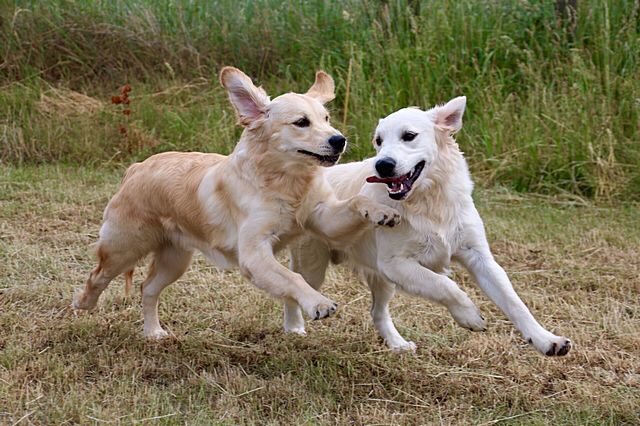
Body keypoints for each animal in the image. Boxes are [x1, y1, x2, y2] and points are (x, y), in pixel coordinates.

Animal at [72, 67, 400, 338]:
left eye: (327, 119)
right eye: (301, 122)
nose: (339, 140)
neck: (285, 181)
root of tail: (136, 167)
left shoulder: (322, 217)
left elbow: (355, 201)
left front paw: (382, 211)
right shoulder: (254, 253)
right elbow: (292, 277)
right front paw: (317, 302)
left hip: (174, 259)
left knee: (147, 288)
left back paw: (153, 332)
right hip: (123, 246)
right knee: (98, 275)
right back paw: (83, 303)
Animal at [288, 96, 572, 356]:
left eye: (409, 136)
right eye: (379, 141)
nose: (382, 165)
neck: (428, 201)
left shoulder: (479, 258)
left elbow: (515, 303)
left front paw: (546, 340)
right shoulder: (397, 264)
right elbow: (446, 286)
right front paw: (469, 315)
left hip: (380, 279)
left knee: (377, 312)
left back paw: (398, 344)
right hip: (314, 268)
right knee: (293, 290)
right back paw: (293, 330)